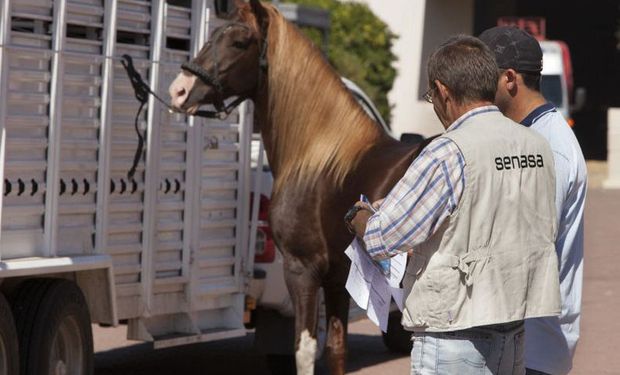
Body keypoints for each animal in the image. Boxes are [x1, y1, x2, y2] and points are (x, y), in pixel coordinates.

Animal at [168, 1, 432, 374]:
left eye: (239, 42)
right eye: (213, 35)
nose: (179, 89)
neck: (317, 159)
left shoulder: (302, 270)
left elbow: (304, 349)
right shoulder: (338, 278)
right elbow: (337, 348)